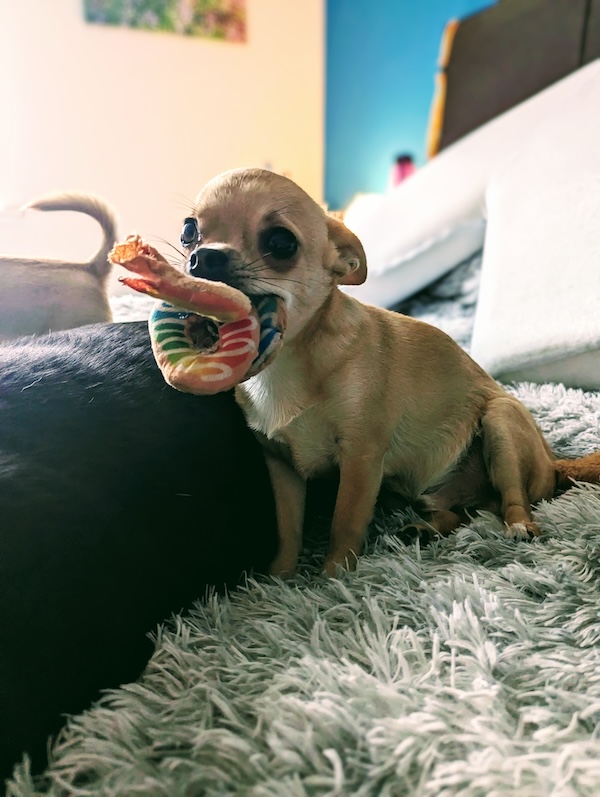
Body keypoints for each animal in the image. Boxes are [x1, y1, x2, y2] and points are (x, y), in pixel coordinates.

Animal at [184, 168, 600, 576]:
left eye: (282, 242)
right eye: (189, 231)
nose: (203, 258)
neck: (289, 360)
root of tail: (555, 463)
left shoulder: (361, 459)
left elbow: (344, 522)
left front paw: (334, 579)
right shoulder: (282, 466)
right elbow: (289, 531)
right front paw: (279, 580)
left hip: (501, 422)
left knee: (512, 497)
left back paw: (519, 526)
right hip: (408, 488)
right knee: (458, 514)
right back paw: (425, 530)